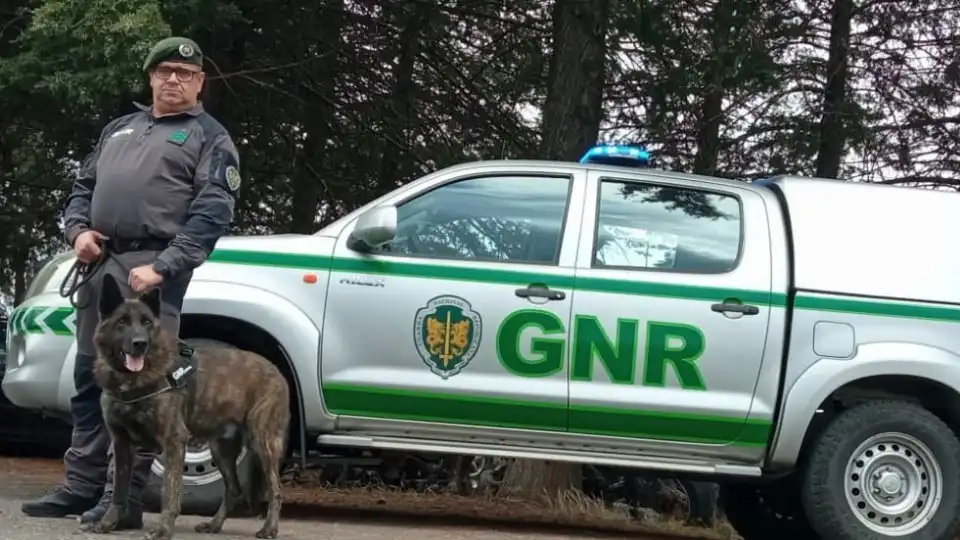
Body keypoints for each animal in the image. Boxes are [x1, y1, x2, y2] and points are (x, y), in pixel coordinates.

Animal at [88, 274, 290, 540]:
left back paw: (270, 528)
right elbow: (119, 490)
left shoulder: (173, 441)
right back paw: (214, 525)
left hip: (262, 442)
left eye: (146, 322)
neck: (133, 381)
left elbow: (170, 491)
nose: (140, 343)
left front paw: (164, 528)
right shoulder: (122, 444)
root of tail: (277, 371)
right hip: (221, 449)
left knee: (275, 489)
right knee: (233, 489)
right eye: (122, 321)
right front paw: (109, 522)